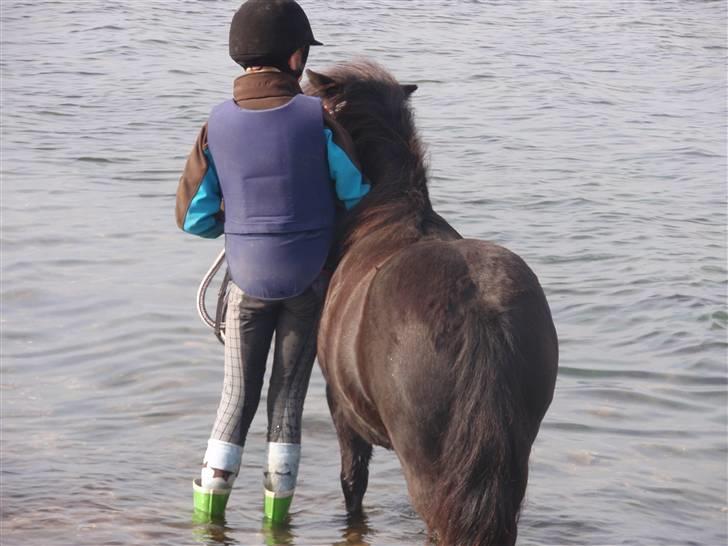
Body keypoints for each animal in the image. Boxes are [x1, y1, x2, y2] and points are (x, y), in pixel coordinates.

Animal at [304, 61, 560, 540]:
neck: (387, 214)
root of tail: (479, 310)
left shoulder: (342, 412)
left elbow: (352, 483)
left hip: (425, 464)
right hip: (510, 463)